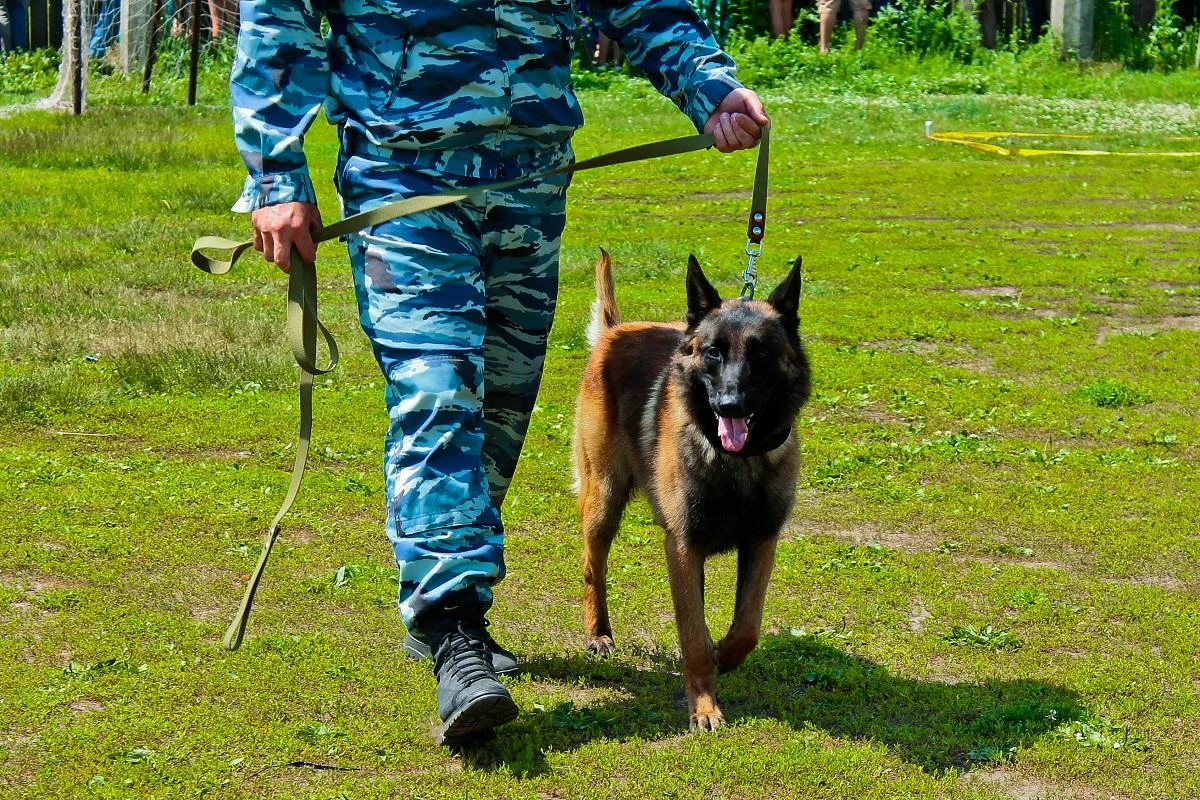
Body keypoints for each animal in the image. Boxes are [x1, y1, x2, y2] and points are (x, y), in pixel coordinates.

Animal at [568, 248, 811, 734]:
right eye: (714, 352)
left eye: (760, 353)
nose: (730, 406)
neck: (737, 461)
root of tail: (614, 331)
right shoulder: (682, 547)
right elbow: (693, 637)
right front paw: (704, 706)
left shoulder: (761, 541)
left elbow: (747, 625)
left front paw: (726, 655)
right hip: (604, 501)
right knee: (592, 568)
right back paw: (598, 632)